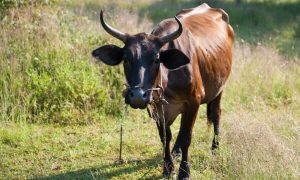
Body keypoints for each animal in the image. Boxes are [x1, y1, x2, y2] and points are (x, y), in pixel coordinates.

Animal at [91, 3, 234, 179]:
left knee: (216, 113)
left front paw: (184, 171)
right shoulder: (156, 107)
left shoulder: (194, 101)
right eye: (126, 59)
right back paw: (176, 151)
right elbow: (165, 136)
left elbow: (187, 136)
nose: (138, 96)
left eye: (156, 59)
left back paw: (215, 148)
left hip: (219, 88)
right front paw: (168, 168)